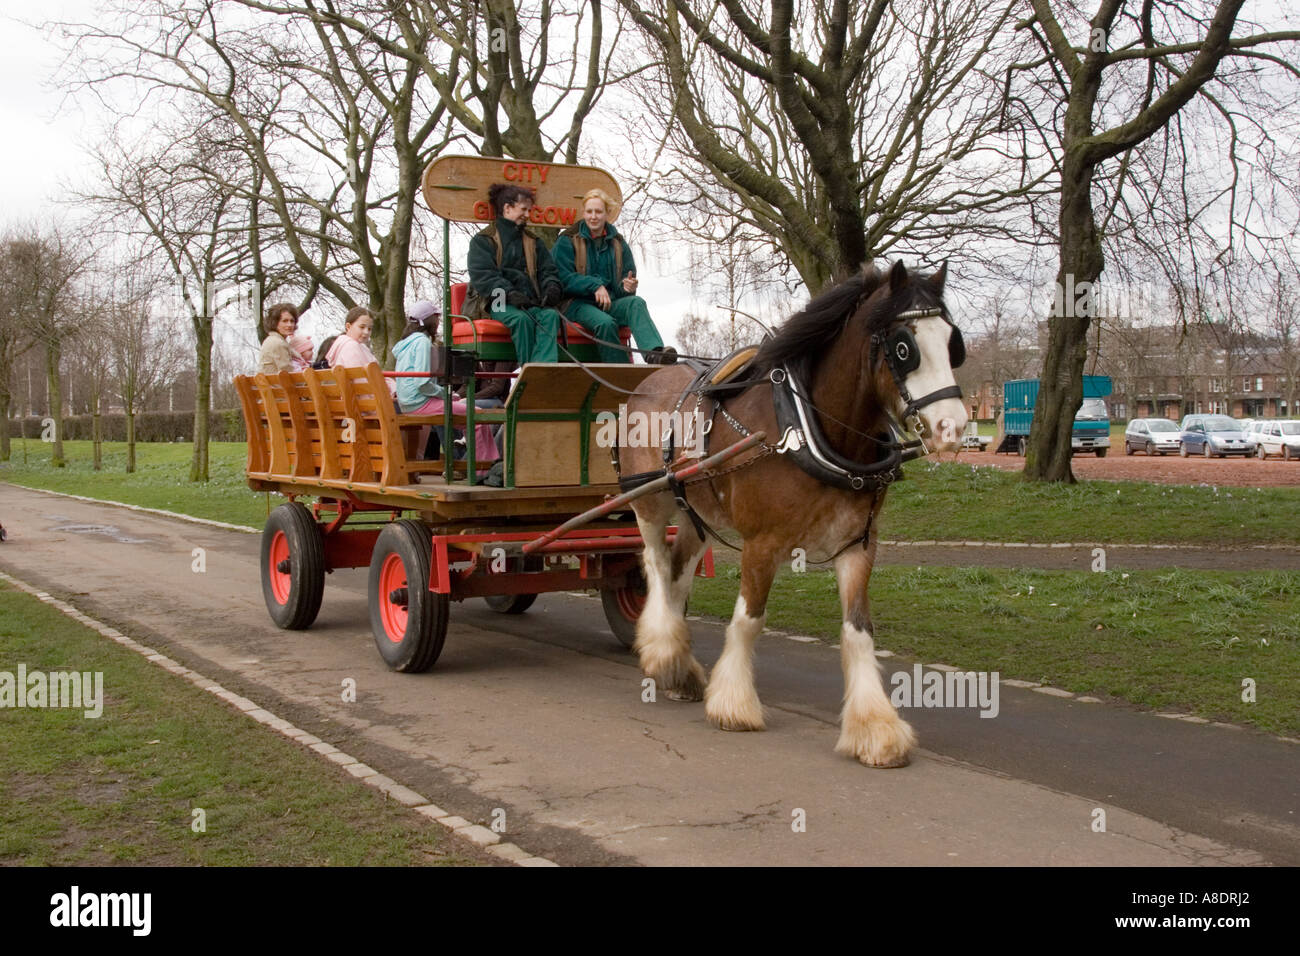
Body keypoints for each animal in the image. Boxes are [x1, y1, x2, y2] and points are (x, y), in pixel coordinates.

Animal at [616, 261, 967, 770]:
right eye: (904, 348)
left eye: (953, 342)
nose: (953, 427)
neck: (806, 427)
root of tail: (643, 385)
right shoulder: (762, 544)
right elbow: (749, 619)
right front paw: (734, 705)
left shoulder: (857, 544)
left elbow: (858, 632)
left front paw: (875, 729)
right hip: (649, 500)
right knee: (656, 567)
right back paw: (663, 650)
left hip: (697, 511)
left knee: (678, 570)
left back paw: (680, 667)